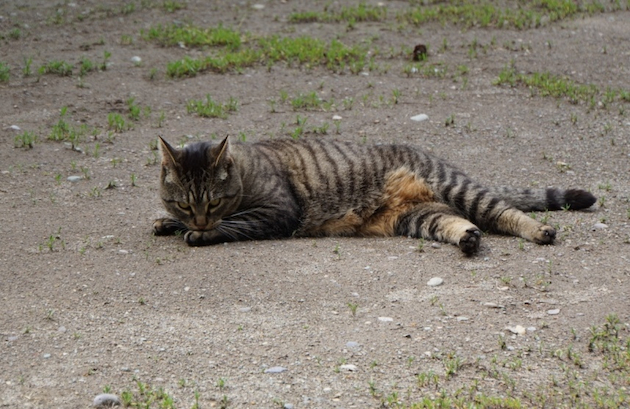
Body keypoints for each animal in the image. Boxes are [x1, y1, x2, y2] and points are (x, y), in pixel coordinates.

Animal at [153, 135, 596, 253]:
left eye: (213, 202)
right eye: (183, 203)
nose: (199, 219)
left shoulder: (276, 211)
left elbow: (234, 224)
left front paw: (201, 233)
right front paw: (167, 222)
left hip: (459, 189)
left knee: (504, 213)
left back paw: (539, 231)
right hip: (418, 218)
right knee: (459, 223)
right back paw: (467, 239)